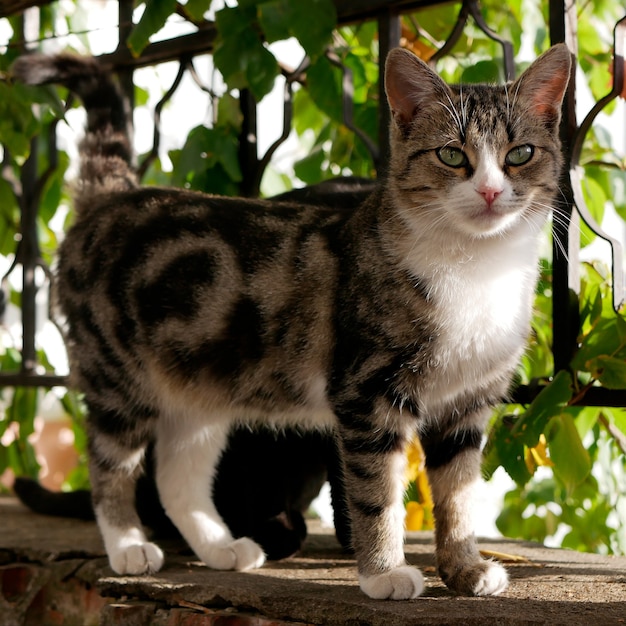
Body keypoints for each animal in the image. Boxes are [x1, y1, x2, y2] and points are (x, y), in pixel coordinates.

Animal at [13, 44, 572, 600]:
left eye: (520, 154)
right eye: (452, 155)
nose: (490, 193)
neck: (476, 268)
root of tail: (108, 199)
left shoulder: (468, 403)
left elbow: (459, 494)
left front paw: (464, 569)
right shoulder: (368, 392)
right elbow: (376, 493)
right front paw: (383, 573)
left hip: (199, 387)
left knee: (178, 476)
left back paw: (220, 547)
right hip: (118, 377)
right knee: (109, 463)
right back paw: (128, 546)